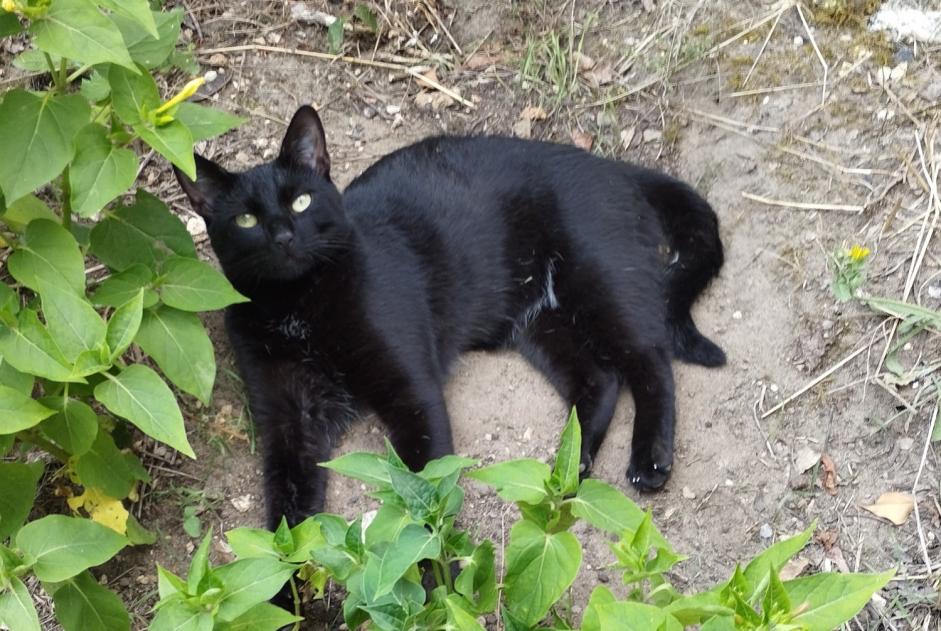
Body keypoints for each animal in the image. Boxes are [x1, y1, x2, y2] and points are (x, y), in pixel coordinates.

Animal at [173, 106, 724, 532]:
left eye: (301, 200)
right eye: (246, 219)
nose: (284, 236)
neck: (300, 305)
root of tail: (613, 167)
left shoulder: (410, 390)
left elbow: (427, 498)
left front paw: (439, 583)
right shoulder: (287, 421)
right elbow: (286, 518)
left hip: (599, 281)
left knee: (651, 361)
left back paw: (649, 460)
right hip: (539, 323)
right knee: (601, 380)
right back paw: (568, 469)